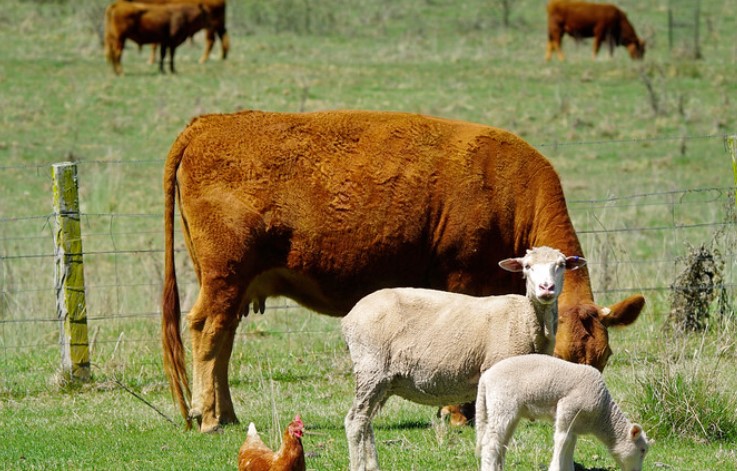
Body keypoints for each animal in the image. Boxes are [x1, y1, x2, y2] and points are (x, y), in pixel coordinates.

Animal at [341, 246, 586, 471]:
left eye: (561, 265)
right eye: (527, 266)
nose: (546, 288)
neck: (526, 320)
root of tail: (350, 315)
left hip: (383, 379)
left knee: (366, 422)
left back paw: (371, 466)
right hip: (371, 368)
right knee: (355, 421)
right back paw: (357, 465)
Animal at [475, 354, 650, 471]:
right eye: (642, 450)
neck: (602, 416)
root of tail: (485, 378)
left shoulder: (574, 422)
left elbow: (570, 443)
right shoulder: (568, 409)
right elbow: (562, 440)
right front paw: (556, 467)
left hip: (507, 411)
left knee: (501, 442)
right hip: (502, 403)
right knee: (490, 442)